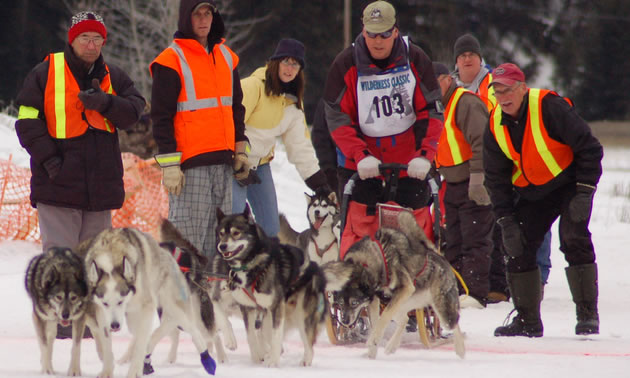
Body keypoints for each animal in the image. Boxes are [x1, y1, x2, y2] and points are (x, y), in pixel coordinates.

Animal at [25, 248, 105, 376]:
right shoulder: (39, 318)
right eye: (58, 297)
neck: (64, 267)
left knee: (96, 329)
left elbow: (76, 346)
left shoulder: (79, 318)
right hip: (49, 322)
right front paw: (47, 370)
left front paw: (74, 370)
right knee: (49, 338)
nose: (66, 315)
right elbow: (44, 345)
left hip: (89, 314)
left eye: (74, 298)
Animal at [76, 227, 218, 378]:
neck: (111, 257)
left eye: (120, 301)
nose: (114, 325)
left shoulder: (147, 307)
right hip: (135, 318)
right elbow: (108, 344)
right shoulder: (102, 312)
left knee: (191, 329)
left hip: (173, 306)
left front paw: (133, 372)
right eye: (105, 303)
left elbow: (140, 343)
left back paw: (207, 359)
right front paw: (107, 371)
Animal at [216, 205, 328, 368]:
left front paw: (273, 363)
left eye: (236, 233)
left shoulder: (276, 307)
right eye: (221, 233)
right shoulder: (247, 308)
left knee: (308, 344)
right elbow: (251, 336)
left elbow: (276, 336)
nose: (222, 246)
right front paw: (257, 359)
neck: (252, 265)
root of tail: (317, 269)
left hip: (302, 315)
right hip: (269, 317)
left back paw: (304, 361)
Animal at [326, 211, 464, 358]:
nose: (344, 321)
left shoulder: (405, 288)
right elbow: (376, 322)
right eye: (340, 303)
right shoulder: (374, 300)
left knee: (454, 322)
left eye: (354, 303)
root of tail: (438, 255)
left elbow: (383, 319)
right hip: (400, 303)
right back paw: (391, 346)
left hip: (440, 309)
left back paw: (460, 349)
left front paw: (372, 340)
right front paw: (371, 353)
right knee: (404, 319)